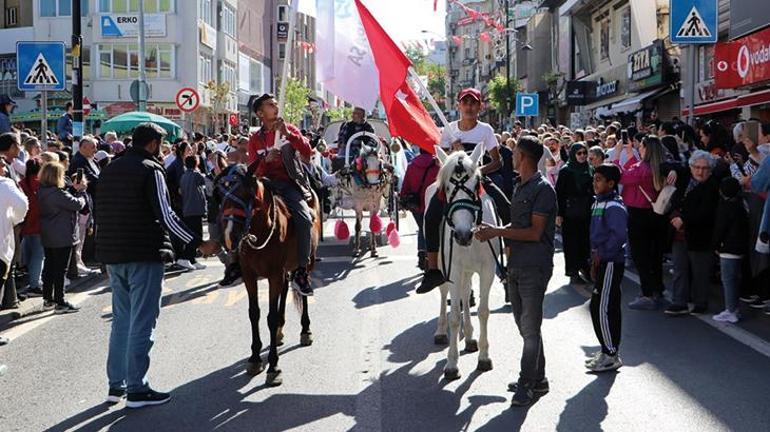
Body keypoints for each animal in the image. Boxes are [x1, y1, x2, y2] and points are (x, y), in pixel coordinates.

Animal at [218, 164, 320, 386]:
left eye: (246, 194)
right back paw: (281, 330)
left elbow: (270, 318)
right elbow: (254, 313)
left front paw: (273, 366)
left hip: (307, 262)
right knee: (285, 288)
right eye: (219, 195)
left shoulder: (274, 274)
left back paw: (305, 330)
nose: (229, 236)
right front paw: (255, 358)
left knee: (303, 291)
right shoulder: (250, 276)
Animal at [424, 143, 500, 380]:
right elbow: (454, 317)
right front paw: (452, 364)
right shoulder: (454, 270)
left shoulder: (487, 269)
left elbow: (483, 311)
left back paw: (470, 337)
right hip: (443, 267)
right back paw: (441, 331)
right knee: (444, 294)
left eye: (475, 184)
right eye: (447, 188)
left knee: (466, 296)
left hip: (468, 271)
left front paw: (484, 357)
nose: (462, 235)